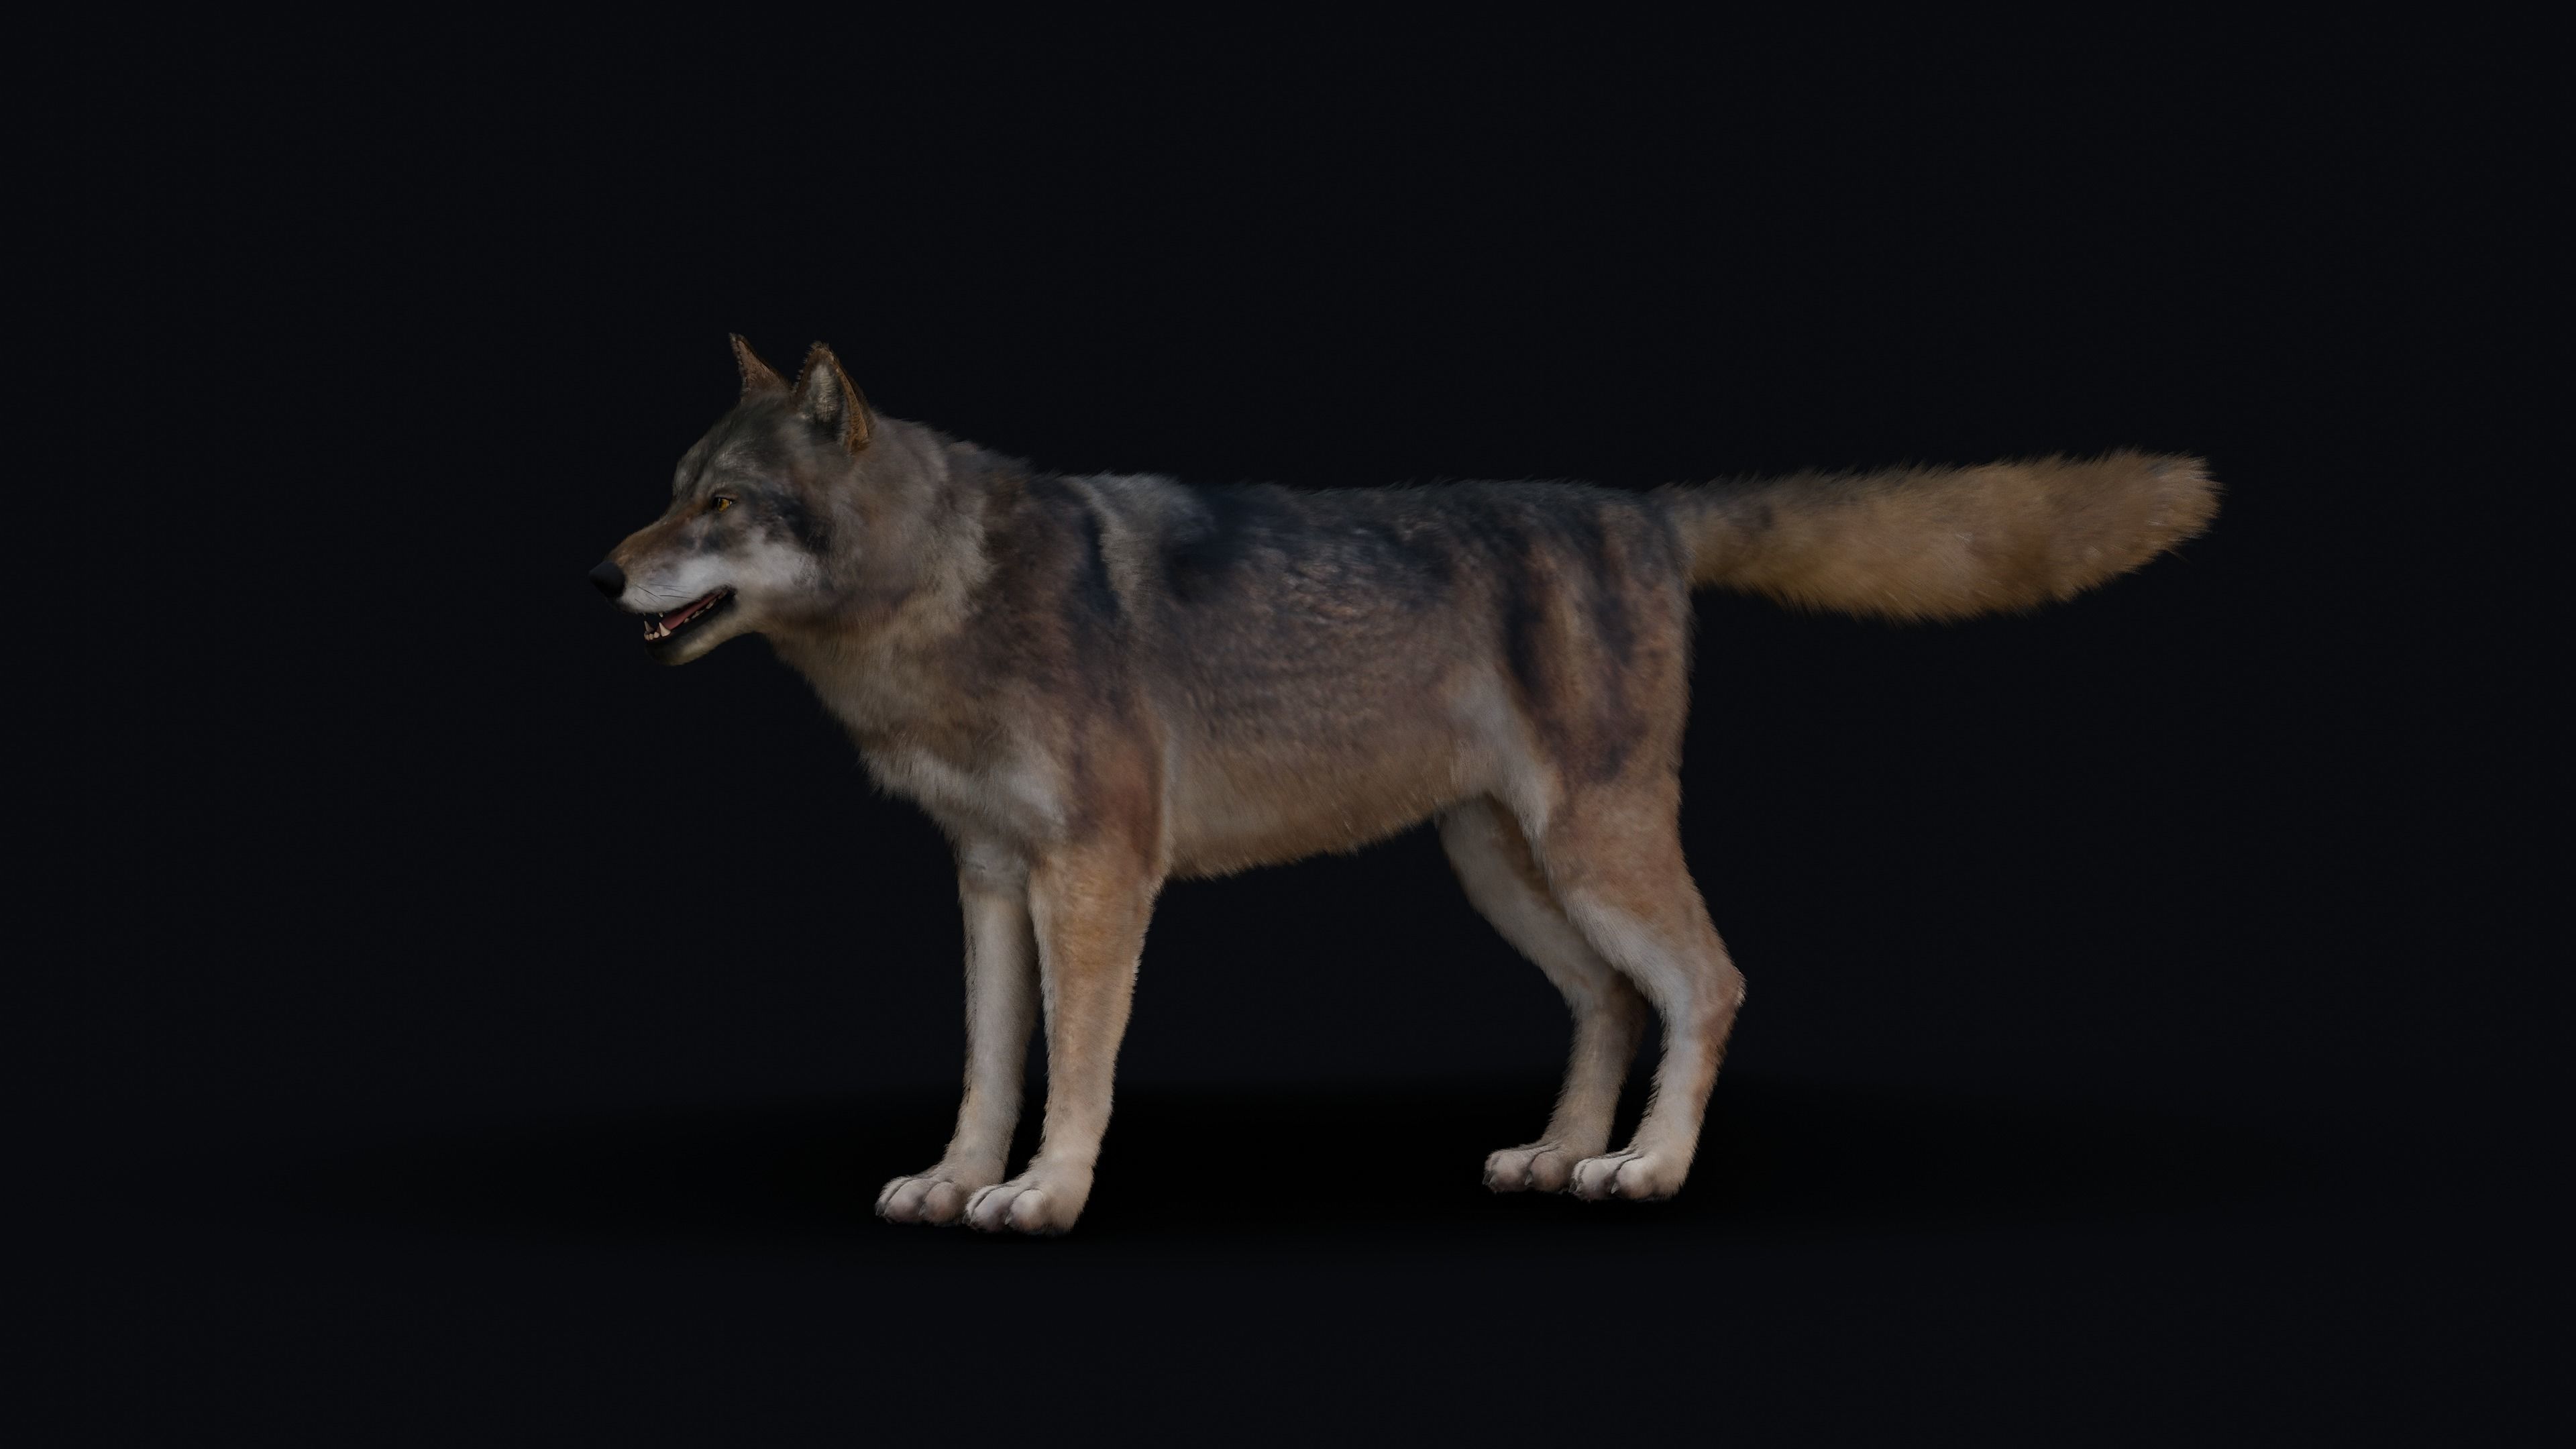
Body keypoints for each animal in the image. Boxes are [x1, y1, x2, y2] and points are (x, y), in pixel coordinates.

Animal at [589, 336, 2219, 1235]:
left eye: (721, 504)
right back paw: (1562, 1156)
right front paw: (954, 1182)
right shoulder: (989, 878)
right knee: (1613, 1001)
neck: (938, 595)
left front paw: (1048, 1197)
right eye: (669, 492)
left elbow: (1079, 1070)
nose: (601, 573)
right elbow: (993, 1067)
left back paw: (1648, 1168)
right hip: (1503, 871)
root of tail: (1646, 509)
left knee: (1709, 984)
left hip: (1592, 850)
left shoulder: (1099, 878)